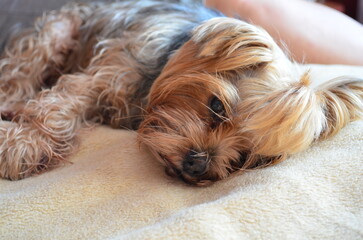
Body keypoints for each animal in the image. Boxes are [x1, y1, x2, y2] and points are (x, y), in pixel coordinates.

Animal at [0, 0, 362, 186]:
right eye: (216, 106)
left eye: (247, 156)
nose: (198, 165)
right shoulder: (109, 72)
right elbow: (59, 104)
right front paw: (24, 145)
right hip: (60, 30)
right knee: (21, 70)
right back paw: (12, 102)